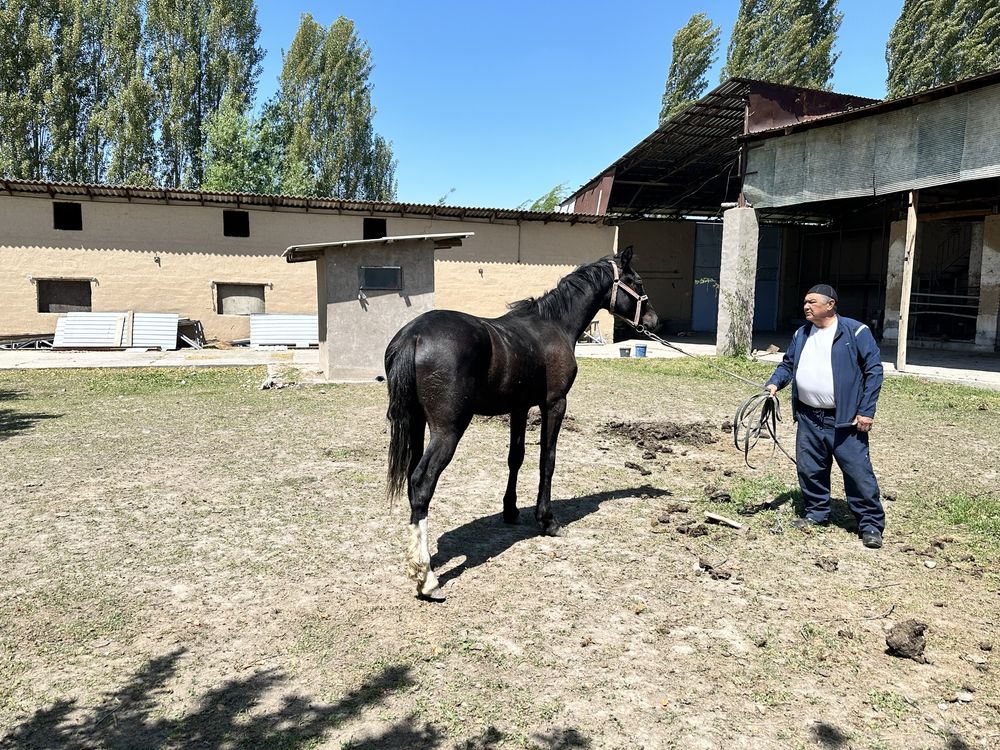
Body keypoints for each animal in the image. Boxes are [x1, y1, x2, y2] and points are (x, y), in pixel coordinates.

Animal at [380, 248, 656, 600]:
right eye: (637, 281)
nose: (653, 321)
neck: (553, 325)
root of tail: (413, 335)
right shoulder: (555, 404)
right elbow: (547, 460)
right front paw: (547, 520)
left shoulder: (520, 408)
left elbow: (516, 458)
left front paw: (510, 510)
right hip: (447, 431)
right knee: (421, 481)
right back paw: (426, 577)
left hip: (414, 424)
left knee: (411, 482)